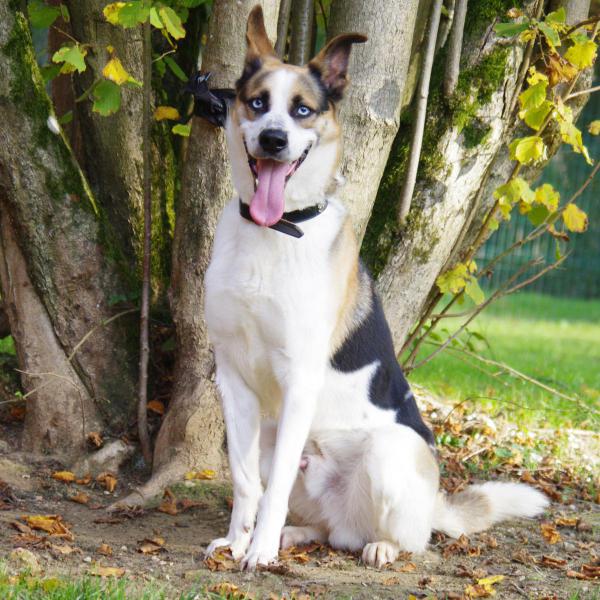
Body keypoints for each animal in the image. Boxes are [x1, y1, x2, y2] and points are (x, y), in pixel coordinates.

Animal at [204, 4, 434, 568]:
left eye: (303, 110)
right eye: (258, 103)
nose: (273, 140)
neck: (275, 231)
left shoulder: (299, 381)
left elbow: (276, 488)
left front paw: (259, 550)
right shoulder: (233, 380)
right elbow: (247, 481)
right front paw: (239, 540)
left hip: (389, 453)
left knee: (403, 536)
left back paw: (379, 546)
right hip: (273, 437)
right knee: (324, 528)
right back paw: (298, 534)